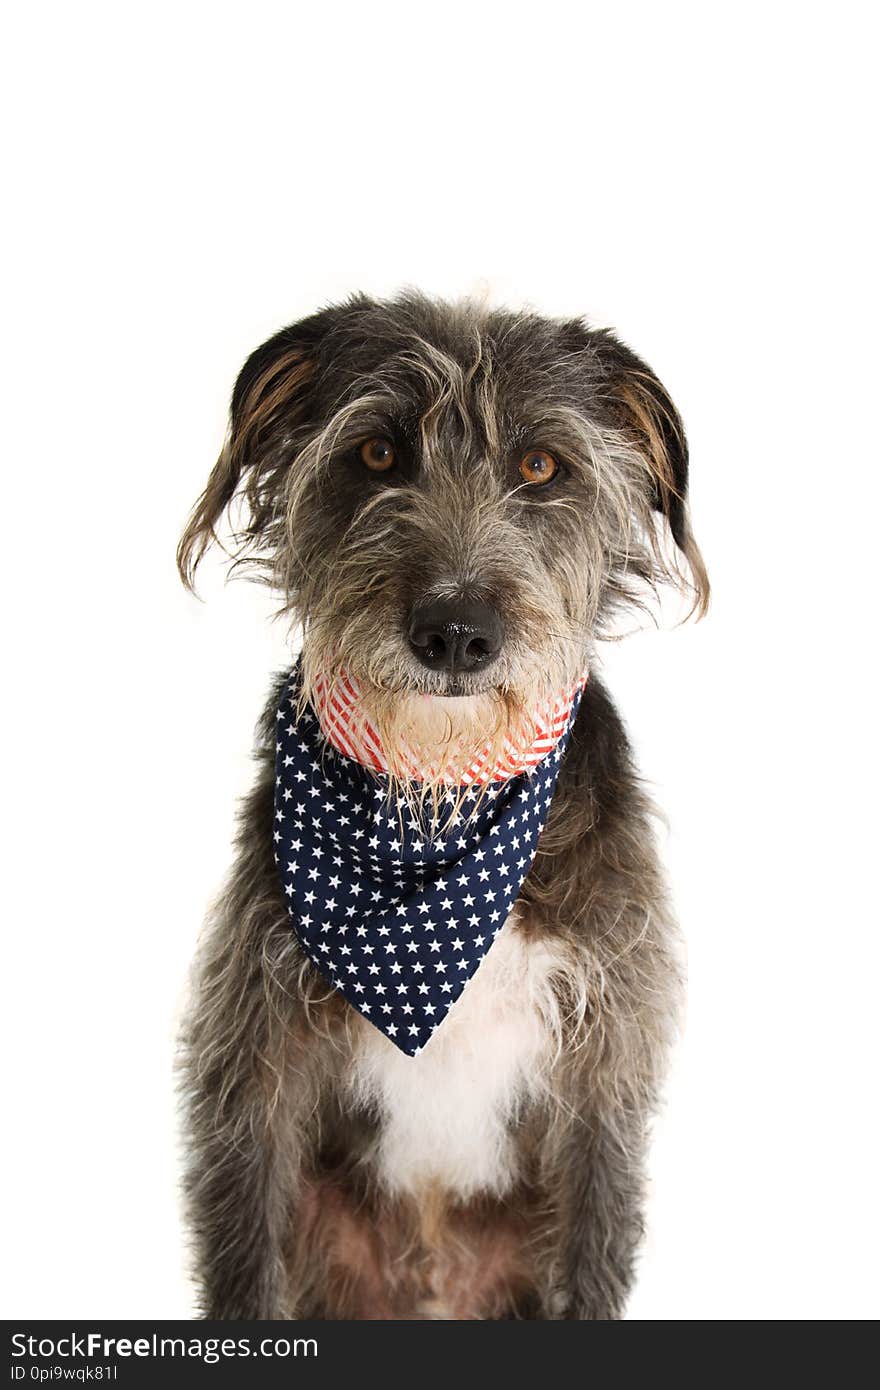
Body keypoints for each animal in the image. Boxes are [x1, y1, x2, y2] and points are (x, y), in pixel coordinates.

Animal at [176, 290, 706, 1312]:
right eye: (378, 452)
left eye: (541, 466)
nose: (456, 632)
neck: (436, 803)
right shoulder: (252, 1067)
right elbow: (243, 1259)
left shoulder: (605, 1079)